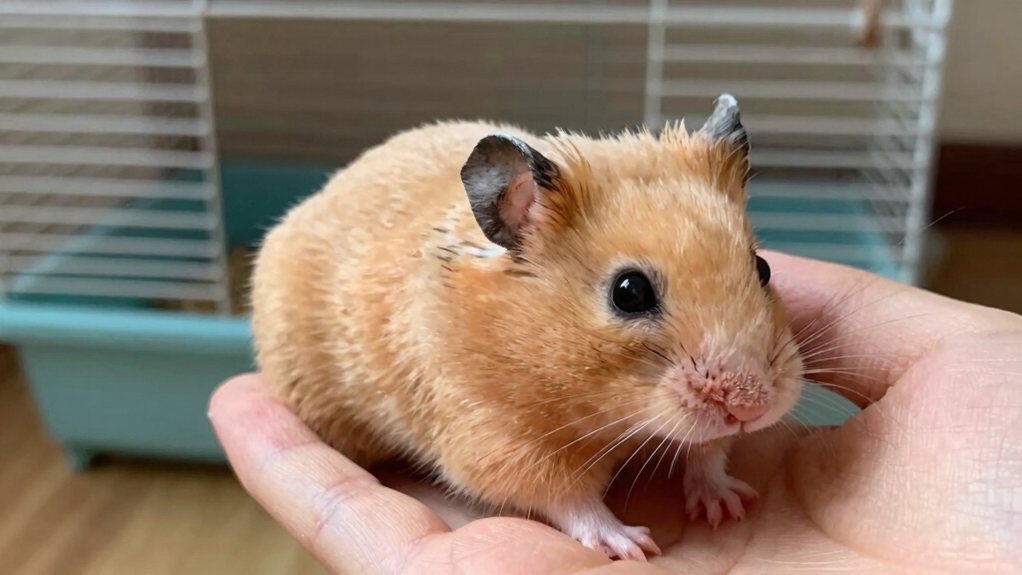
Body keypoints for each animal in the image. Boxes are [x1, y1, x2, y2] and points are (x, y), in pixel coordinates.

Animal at [250, 95, 804, 561]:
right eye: (629, 292)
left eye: (762, 268)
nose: (750, 409)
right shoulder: (495, 437)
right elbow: (567, 498)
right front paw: (631, 544)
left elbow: (707, 455)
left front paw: (729, 505)